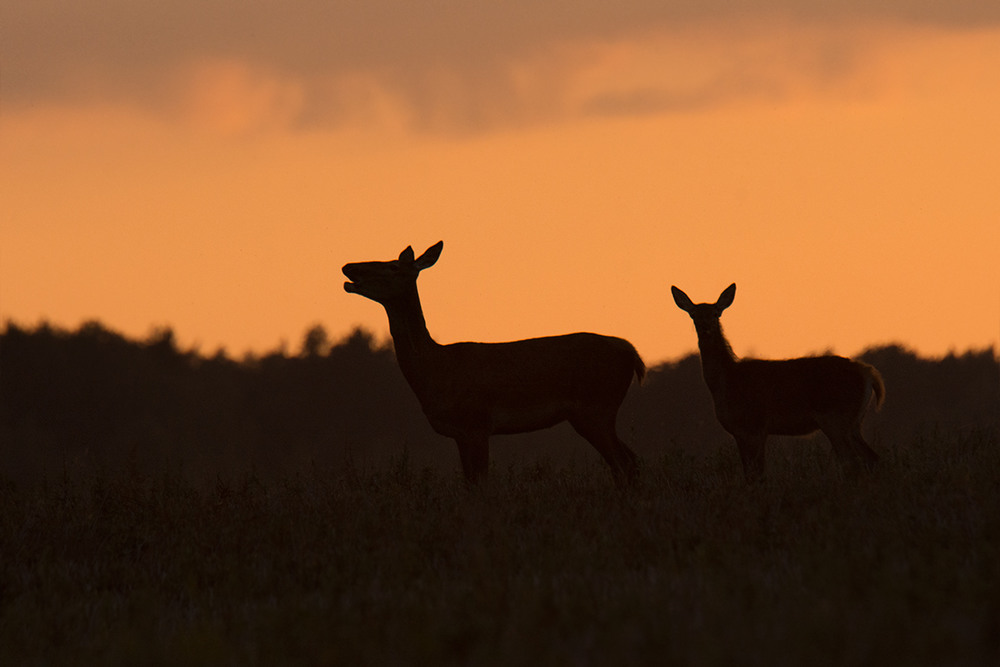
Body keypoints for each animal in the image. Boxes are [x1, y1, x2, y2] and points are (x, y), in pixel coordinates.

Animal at [342, 243, 640, 482]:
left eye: (392, 266)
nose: (348, 267)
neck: (437, 369)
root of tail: (632, 353)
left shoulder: (478, 423)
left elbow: (481, 483)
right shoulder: (460, 434)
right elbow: (469, 483)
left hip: (596, 409)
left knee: (624, 463)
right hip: (596, 413)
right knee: (632, 459)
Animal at [672, 284, 884, 482]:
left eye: (716, 313)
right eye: (693, 315)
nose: (705, 327)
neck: (726, 381)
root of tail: (868, 373)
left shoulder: (755, 426)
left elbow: (756, 475)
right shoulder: (741, 432)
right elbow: (750, 474)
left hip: (836, 418)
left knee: (852, 462)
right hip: (853, 422)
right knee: (872, 458)